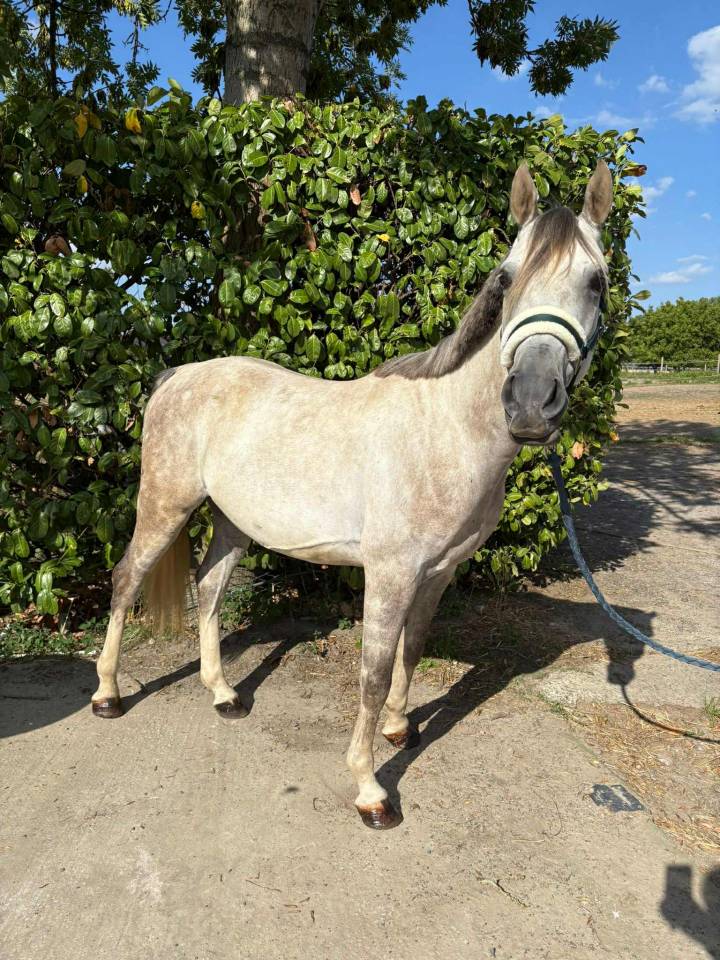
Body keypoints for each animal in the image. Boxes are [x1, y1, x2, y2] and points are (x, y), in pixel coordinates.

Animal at [92, 161, 613, 829]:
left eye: (596, 283)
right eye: (506, 277)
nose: (530, 402)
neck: (444, 432)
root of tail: (177, 376)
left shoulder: (439, 573)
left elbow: (412, 652)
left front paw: (399, 729)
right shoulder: (389, 575)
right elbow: (373, 671)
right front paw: (371, 789)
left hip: (234, 522)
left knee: (208, 588)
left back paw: (225, 695)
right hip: (164, 506)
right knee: (126, 579)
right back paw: (108, 694)